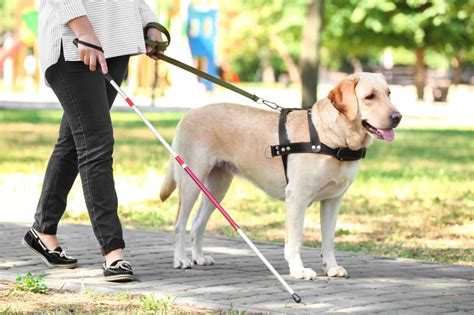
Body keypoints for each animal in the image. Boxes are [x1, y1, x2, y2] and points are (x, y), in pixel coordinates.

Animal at [159, 73, 400, 280]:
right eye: (369, 97)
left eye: (389, 93)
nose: (398, 117)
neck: (334, 139)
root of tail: (188, 114)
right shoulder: (297, 198)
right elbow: (295, 240)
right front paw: (298, 270)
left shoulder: (333, 200)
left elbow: (329, 240)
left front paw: (331, 267)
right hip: (191, 182)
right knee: (179, 223)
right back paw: (181, 259)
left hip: (217, 188)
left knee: (197, 223)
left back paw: (198, 257)